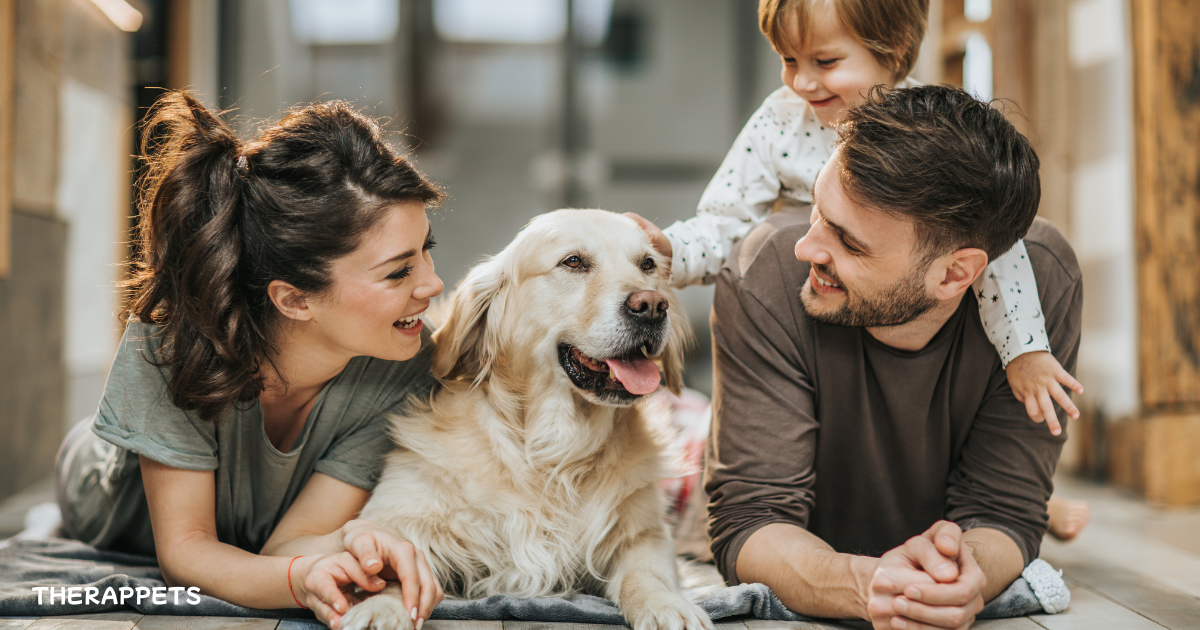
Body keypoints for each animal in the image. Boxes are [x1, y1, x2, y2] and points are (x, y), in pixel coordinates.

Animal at [338, 207, 710, 628]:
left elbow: (646, 573)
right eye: (573, 261)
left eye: (647, 264)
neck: (552, 450)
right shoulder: (396, 514)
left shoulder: (645, 532)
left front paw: (665, 604)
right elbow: (392, 564)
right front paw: (381, 607)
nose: (652, 305)